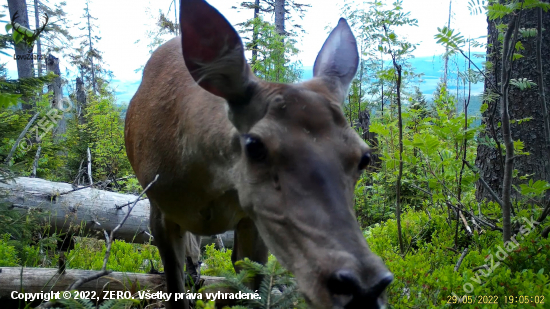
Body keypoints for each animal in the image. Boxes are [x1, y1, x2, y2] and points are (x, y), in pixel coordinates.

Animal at [124, 0, 392, 306]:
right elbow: (174, 288)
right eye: (255, 146)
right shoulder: (157, 205)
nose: (364, 286)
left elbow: (250, 287)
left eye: (364, 157)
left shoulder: (253, 220)